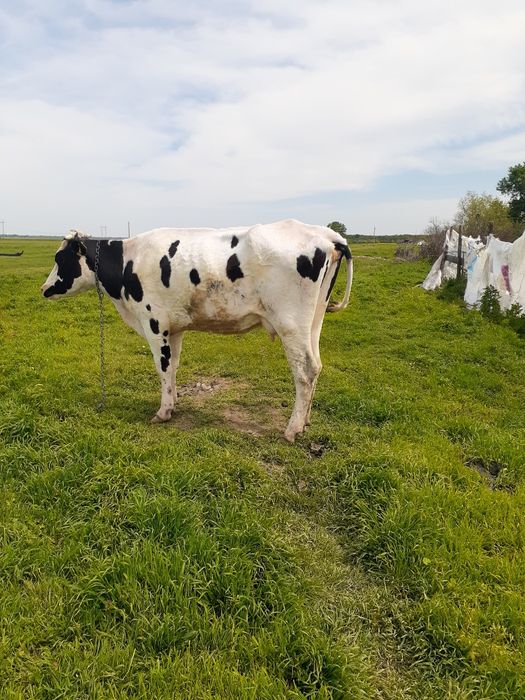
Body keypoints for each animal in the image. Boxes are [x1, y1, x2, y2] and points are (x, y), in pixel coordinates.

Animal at [41, 219, 352, 442]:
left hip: (290, 324)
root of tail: (327, 235)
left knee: (305, 370)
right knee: (317, 366)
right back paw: (306, 421)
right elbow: (173, 366)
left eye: (59, 259)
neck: (128, 262)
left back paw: (292, 429)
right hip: (313, 321)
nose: (44, 289)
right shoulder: (174, 328)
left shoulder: (154, 324)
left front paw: (163, 412)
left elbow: (162, 367)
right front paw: (174, 401)